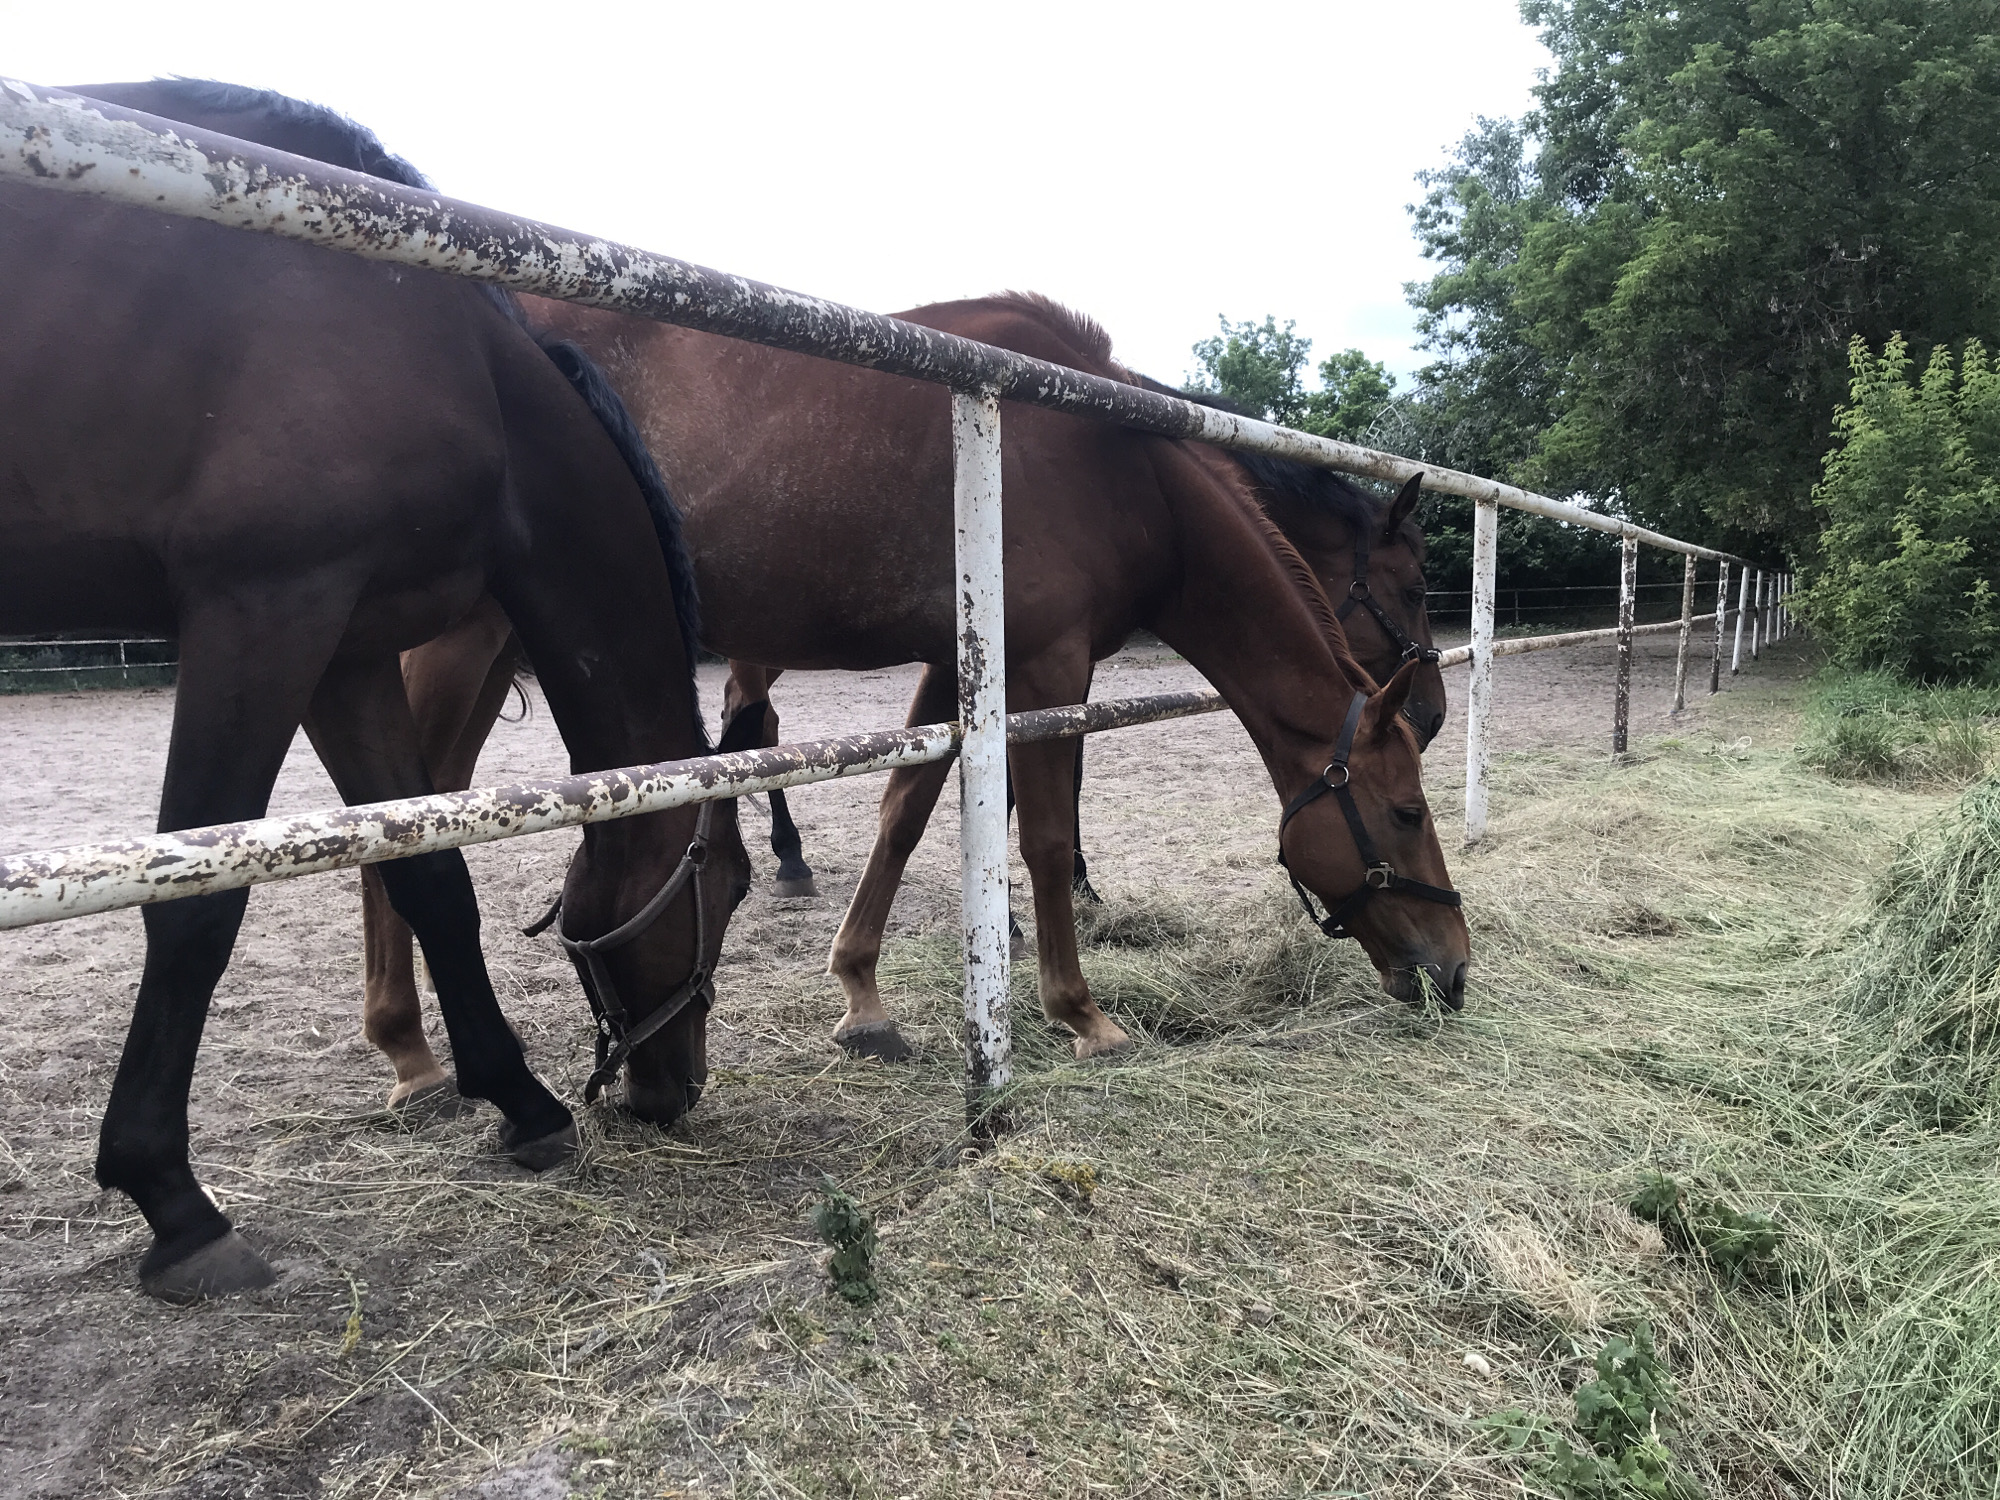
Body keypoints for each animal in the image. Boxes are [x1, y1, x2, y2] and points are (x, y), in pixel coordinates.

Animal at [6, 79, 753, 1302]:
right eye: (727, 889)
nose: (674, 1089)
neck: (440, 350)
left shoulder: (344, 650)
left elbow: (431, 876)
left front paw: (524, 1104)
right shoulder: (263, 614)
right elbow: (198, 906)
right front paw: (170, 1196)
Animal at [337, 285, 1468, 1094]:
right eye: (1407, 814)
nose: (1453, 969)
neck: (1114, 460)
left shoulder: (953, 664)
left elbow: (906, 812)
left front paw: (862, 997)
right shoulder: (1047, 665)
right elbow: (1041, 837)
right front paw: (1079, 1013)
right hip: (464, 643)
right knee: (396, 820)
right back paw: (416, 1056)